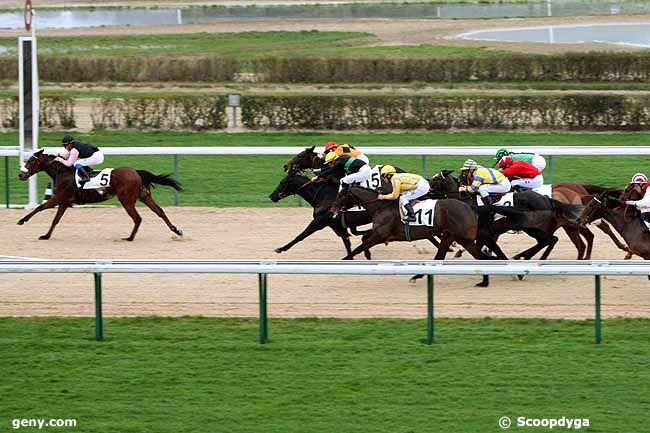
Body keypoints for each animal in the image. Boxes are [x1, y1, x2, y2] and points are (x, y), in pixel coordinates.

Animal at [16, 150, 182, 241]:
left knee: (137, 218)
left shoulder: (60, 198)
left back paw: (129, 238)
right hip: (144, 196)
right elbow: (55, 219)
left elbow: (41, 208)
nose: (20, 175)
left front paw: (22, 221)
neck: (63, 172)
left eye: (30, 161)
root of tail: (136, 172)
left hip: (126, 200)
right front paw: (46, 235)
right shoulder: (64, 202)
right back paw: (176, 230)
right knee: (160, 212)